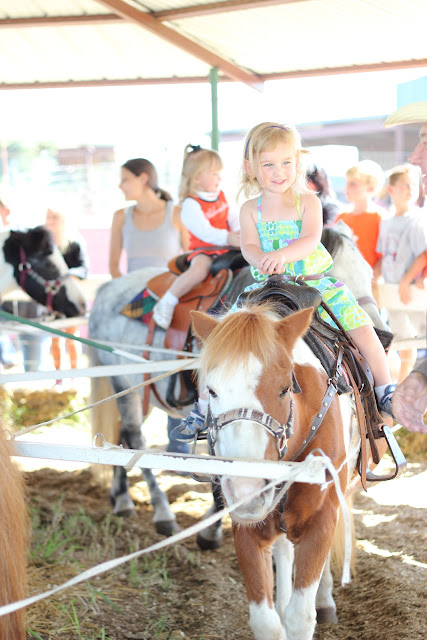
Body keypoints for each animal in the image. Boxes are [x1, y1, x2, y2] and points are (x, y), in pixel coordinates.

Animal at [89, 223, 387, 539]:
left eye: (369, 274)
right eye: (336, 276)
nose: (384, 335)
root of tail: (107, 289)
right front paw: (212, 528)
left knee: (122, 436)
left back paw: (121, 499)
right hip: (121, 385)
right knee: (135, 437)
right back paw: (161, 511)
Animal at [190, 303, 359, 640]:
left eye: (284, 389)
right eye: (211, 391)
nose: (247, 489)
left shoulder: (321, 520)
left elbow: (301, 617)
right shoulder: (246, 527)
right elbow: (265, 621)